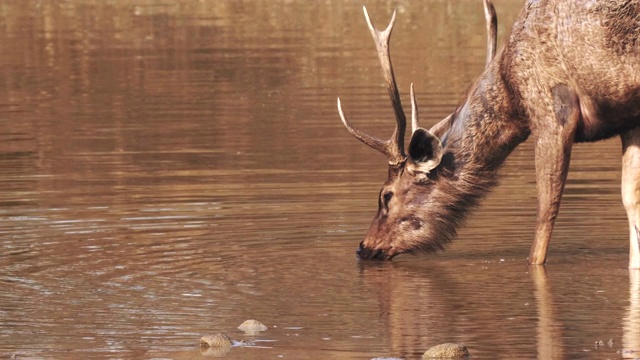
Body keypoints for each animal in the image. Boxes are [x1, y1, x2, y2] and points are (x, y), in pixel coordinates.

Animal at [338, 0, 640, 268]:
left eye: (386, 195)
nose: (363, 247)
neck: (511, 90)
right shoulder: (629, 122)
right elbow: (630, 200)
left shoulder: (552, 113)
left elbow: (544, 216)